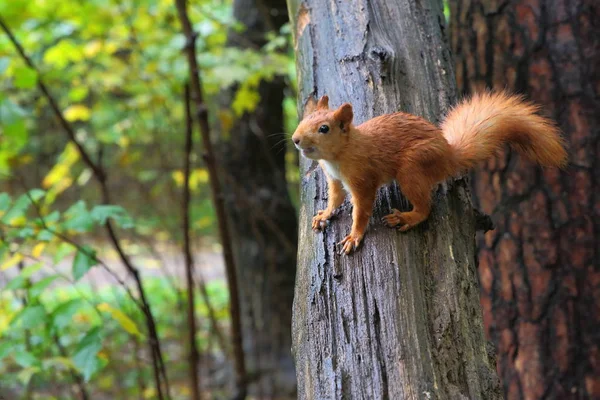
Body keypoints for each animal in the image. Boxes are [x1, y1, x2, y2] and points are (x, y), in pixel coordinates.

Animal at [292, 91, 568, 253]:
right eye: (303, 120)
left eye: (324, 128)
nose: (295, 139)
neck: (339, 155)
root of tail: (448, 155)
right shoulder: (334, 179)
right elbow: (335, 198)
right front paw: (324, 214)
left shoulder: (362, 180)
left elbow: (361, 211)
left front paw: (354, 236)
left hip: (412, 168)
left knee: (426, 208)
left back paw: (406, 217)